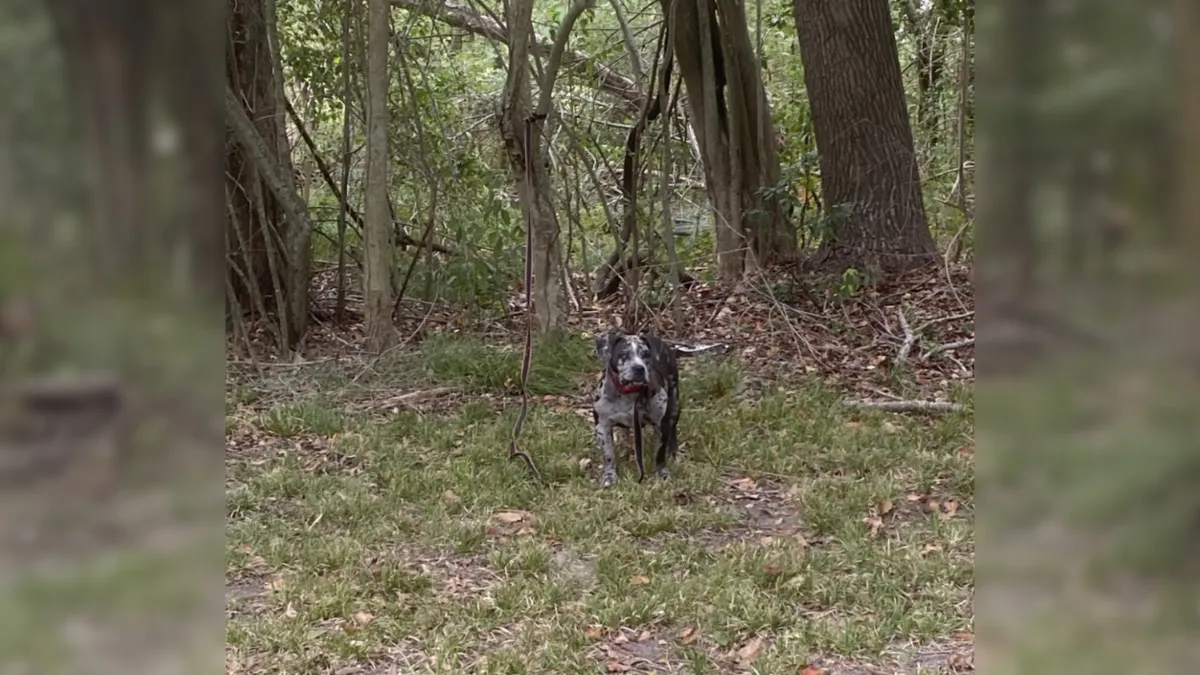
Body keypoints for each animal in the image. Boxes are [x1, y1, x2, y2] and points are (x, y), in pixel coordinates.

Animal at [592, 329, 686, 485]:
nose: (639, 368)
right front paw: (609, 476)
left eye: (646, 354)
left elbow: (659, 452)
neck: (629, 393)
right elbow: (609, 455)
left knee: (672, 432)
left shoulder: (661, 423)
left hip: (674, 405)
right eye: (624, 354)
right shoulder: (602, 426)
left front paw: (662, 472)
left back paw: (674, 452)